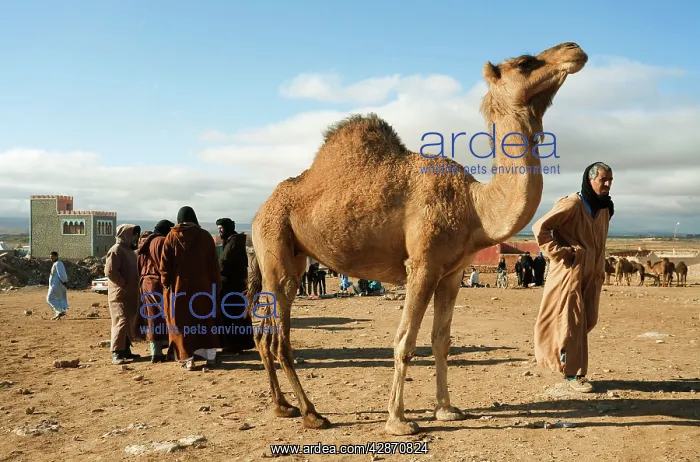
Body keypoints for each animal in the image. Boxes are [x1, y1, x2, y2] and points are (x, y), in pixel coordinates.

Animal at [247, 42, 588, 436]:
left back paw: (282, 406)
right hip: (276, 245)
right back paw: (311, 413)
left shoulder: (452, 273)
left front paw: (446, 409)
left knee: (264, 334)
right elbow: (405, 341)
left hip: (292, 255)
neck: (475, 207)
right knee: (280, 338)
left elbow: (441, 341)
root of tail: (258, 212)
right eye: (525, 62)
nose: (574, 49)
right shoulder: (421, 266)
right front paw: (398, 420)